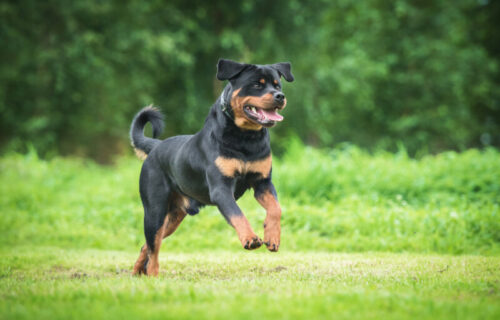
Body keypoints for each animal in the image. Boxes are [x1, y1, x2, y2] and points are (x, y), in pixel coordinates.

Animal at [130, 58, 292, 276]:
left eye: (278, 85)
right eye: (257, 85)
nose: (279, 96)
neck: (245, 138)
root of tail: (156, 146)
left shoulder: (262, 183)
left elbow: (276, 208)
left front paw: (272, 237)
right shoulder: (221, 189)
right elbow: (237, 214)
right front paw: (250, 238)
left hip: (173, 217)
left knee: (147, 245)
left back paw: (137, 271)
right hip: (155, 210)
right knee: (154, 248)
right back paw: (153, 275)